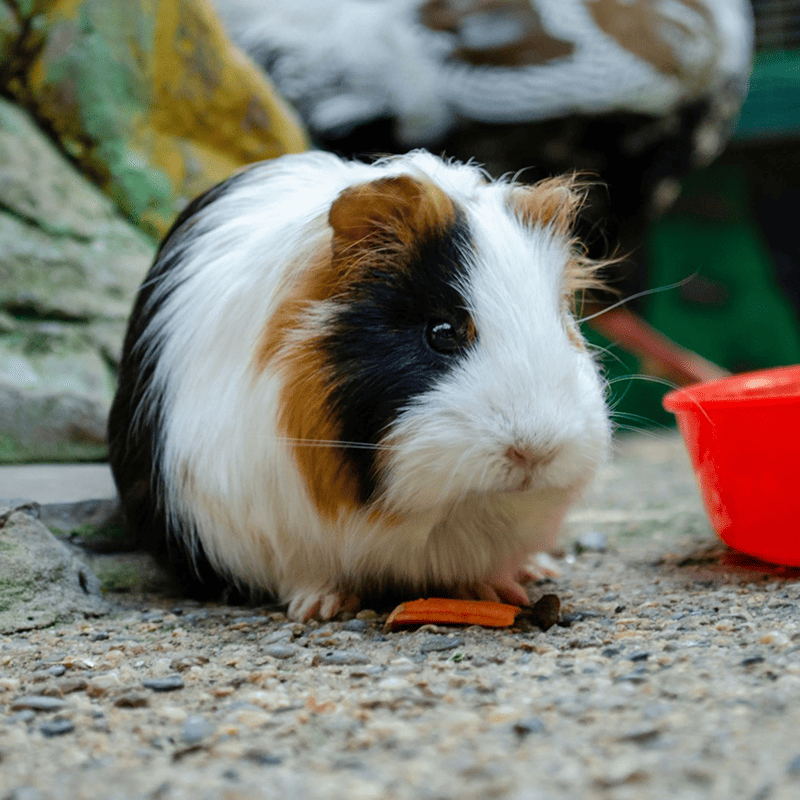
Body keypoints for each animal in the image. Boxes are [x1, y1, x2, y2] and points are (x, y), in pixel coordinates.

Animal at [107, 150, 612, 621]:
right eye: (441, 332)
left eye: (562, 324)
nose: (534, 451)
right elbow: (303, 572)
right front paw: (320, 608)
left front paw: (495, 590)